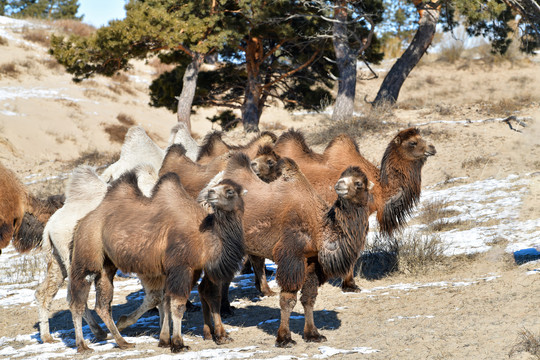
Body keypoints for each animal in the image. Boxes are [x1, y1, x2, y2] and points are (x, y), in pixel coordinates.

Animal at [34, 163, 157, 344]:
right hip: (75, 259)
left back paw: (47, 336)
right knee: (73, 295)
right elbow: (154, 296)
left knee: (44, 292)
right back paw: (99, 332)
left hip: (58, 259)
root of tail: (50, 225)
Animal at [68, 172, 246, 352]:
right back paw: (83, 345)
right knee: (77, 301)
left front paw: (166, 340)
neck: (204, 237)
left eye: (230, 191)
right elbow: (177, 304)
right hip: (88, 251)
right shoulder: (181, 267)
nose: (210, 193)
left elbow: (169, 301)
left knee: (103, 304)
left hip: (108, 264)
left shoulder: (191, 270)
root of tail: (82, 222)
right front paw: (178, 343)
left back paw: (122, 341)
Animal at [209, 154, 374, 346]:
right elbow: (287, 300)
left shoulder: (312, 260)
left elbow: (309, 298)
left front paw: (313, 334)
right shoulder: (291, 257)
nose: (339, 184)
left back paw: (226, 309)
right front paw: (284, 338)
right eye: (342, 177)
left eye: (359, 183)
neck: (318, 228)